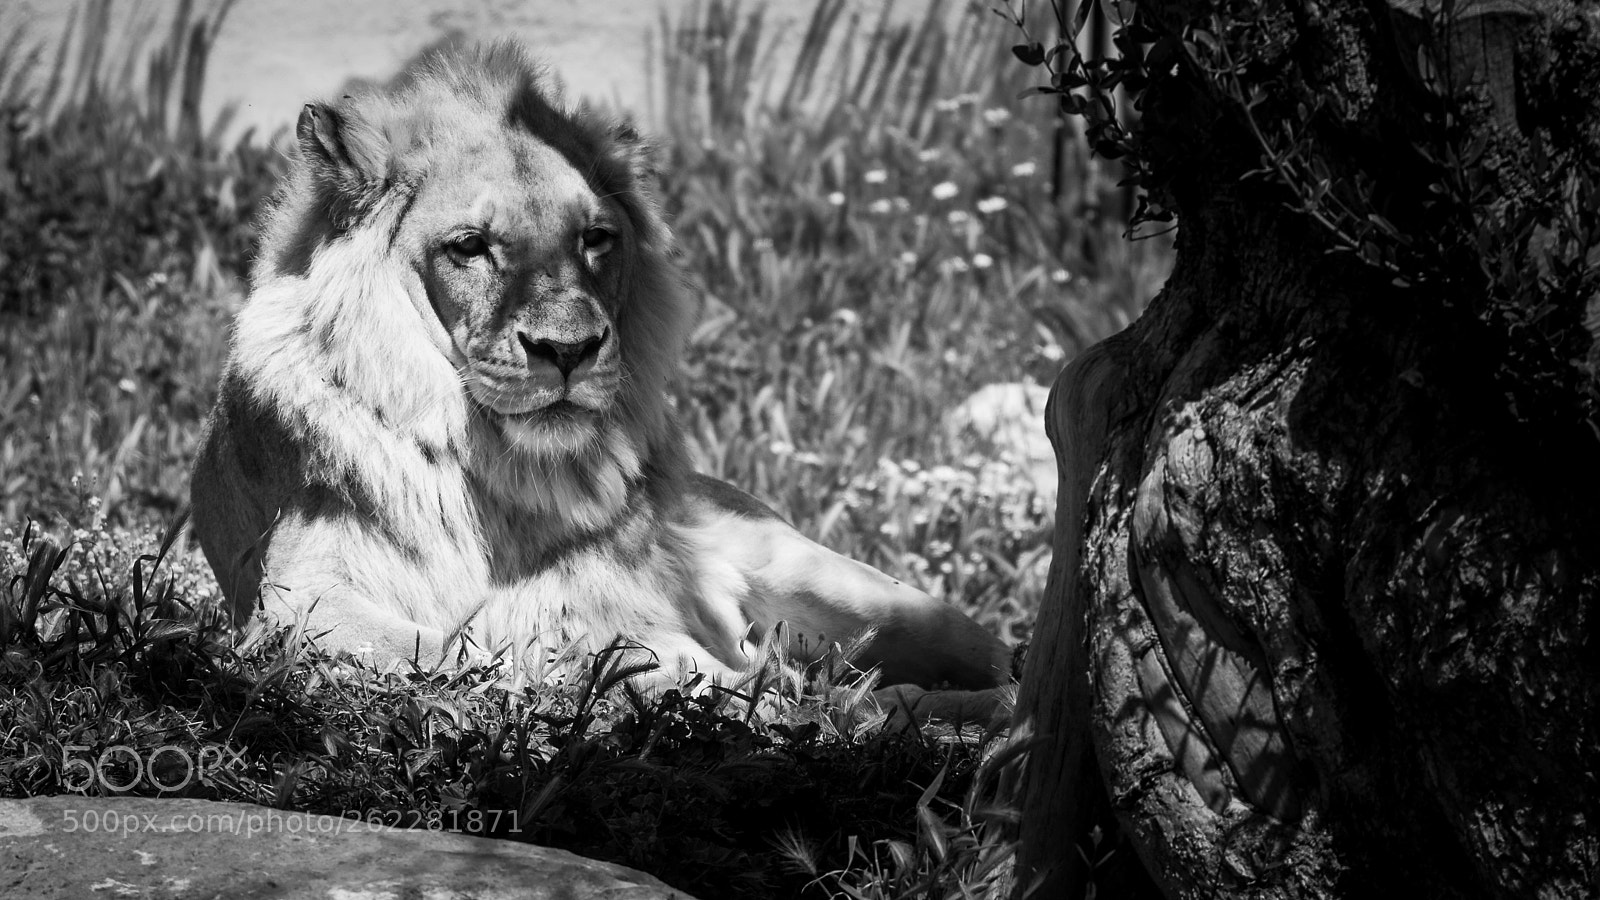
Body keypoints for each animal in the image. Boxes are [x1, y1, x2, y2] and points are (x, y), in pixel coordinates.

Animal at [190, 43, 1010, 705]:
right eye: (469, 246)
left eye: (595, 239)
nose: (570, 349)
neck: (502, 479)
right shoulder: (295, 593)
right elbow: (447, 645)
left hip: (851, 588)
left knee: (995, 663)